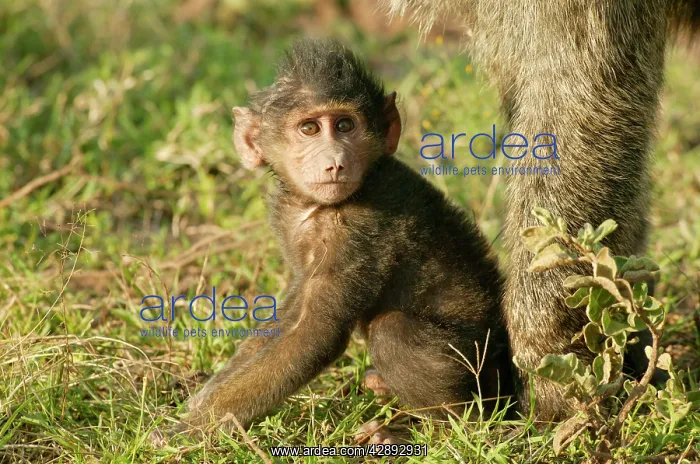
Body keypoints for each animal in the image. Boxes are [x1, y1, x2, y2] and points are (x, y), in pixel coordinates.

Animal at [176, 38, 513, 432]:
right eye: (309, 129)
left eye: (344, 125)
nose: (335, 162)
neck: (319, 208)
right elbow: (294, 308)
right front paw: (203, 397)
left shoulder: (357, 232)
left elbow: (313, 334)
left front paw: (187, 430)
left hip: (483, 369)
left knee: (392, 333)